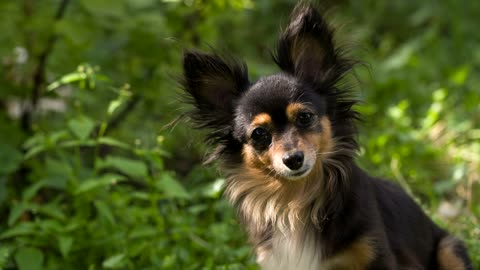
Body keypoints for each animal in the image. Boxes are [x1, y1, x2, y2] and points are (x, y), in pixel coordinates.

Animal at [179, 2, 472, 270]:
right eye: (259, 134)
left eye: (305, 117)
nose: (293, 160)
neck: (295, 201)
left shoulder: (377, 255)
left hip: (449, 247)